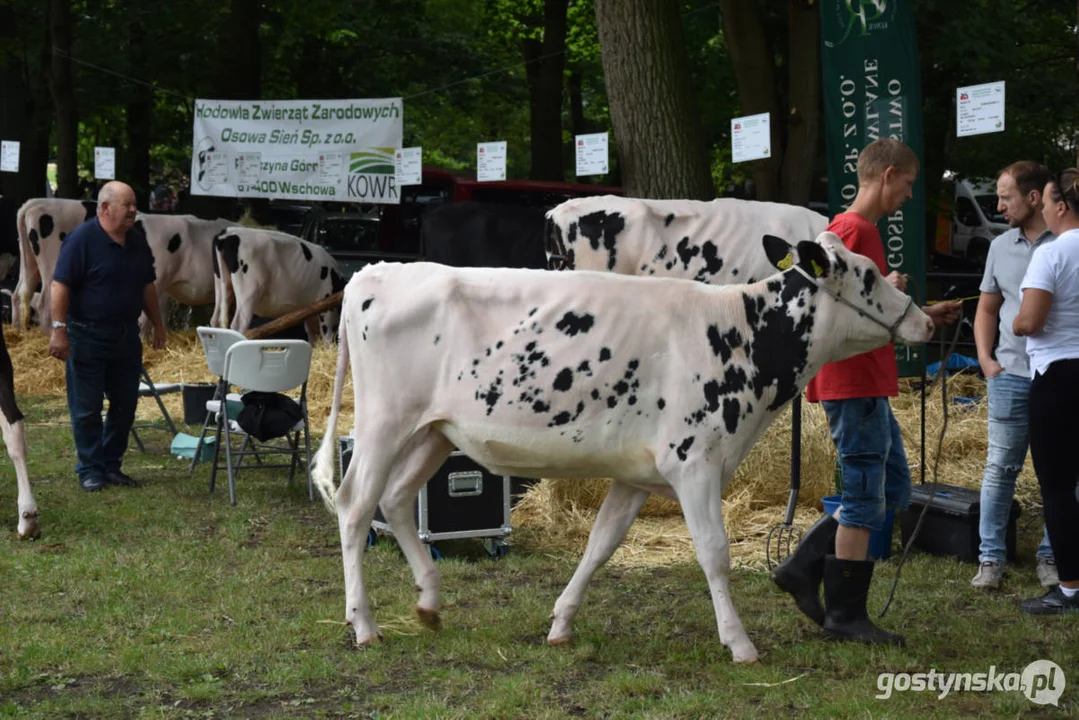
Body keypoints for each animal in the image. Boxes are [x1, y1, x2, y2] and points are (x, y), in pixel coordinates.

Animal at [210, 229, 345, 345]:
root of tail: (226, 234)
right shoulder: (327, 307)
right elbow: (327, 337)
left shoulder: (311, 311)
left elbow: (313, 338)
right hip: (248, 293)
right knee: (238, 325)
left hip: (221, 284)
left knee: (215, 320)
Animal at [312, 232, 936, 664]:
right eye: (869, 274)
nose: (927, 321)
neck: (743, 333)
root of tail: (375, 272)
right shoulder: (695, 461)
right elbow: (714, 553)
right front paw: (739, 643)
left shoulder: (638, 475)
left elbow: (600, 545)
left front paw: (562, 624)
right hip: (383, 422)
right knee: (355, 505)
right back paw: (363, 624)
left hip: (433, 432)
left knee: (395, 500)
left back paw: (429, 603)